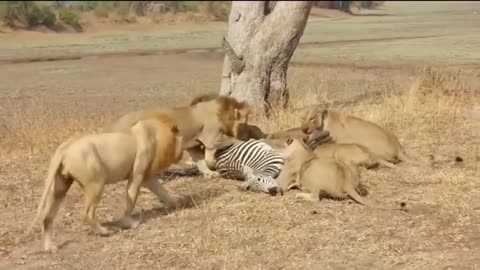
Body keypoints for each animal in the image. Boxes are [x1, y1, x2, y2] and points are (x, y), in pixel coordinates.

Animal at [27, 114, 184, 253]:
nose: (183, 151)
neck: (155, 131)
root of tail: (64, 149)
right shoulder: (137, 175)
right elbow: (131, 200)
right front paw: (129, 223)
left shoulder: (147, 178)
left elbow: (162, 191)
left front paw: (177, 204)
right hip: (95, 184)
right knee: (87, 213)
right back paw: (104, 231)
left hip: (60, 186)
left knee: (47, 218)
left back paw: (50, 248)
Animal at [103, 94, 249, 177]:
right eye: (245, 121)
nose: (248, 130)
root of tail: (115, 124)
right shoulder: (212, 137)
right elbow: (230, 140)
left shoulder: (193, 145)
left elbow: (201, 160)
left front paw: (210, 173)